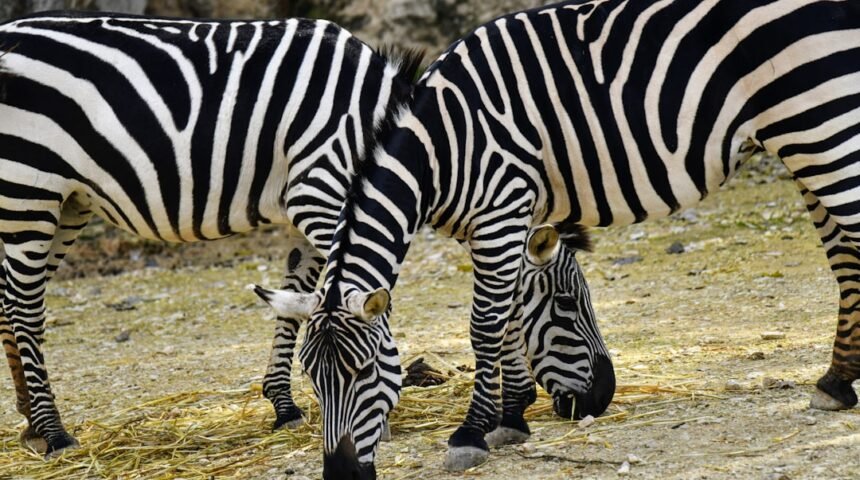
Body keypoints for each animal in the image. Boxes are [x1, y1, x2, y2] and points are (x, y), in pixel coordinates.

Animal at [267, 0, 860, 473]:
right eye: (311, 376)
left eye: (366, 371)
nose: (342, 473)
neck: (442, 149)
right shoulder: (495, 220)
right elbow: (509, 315)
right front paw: (510, 418)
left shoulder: (502, 206)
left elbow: (486, 324)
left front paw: (471, 433)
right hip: (806, 140)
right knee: (845, 256)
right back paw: (835, 382)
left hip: (824, 124)